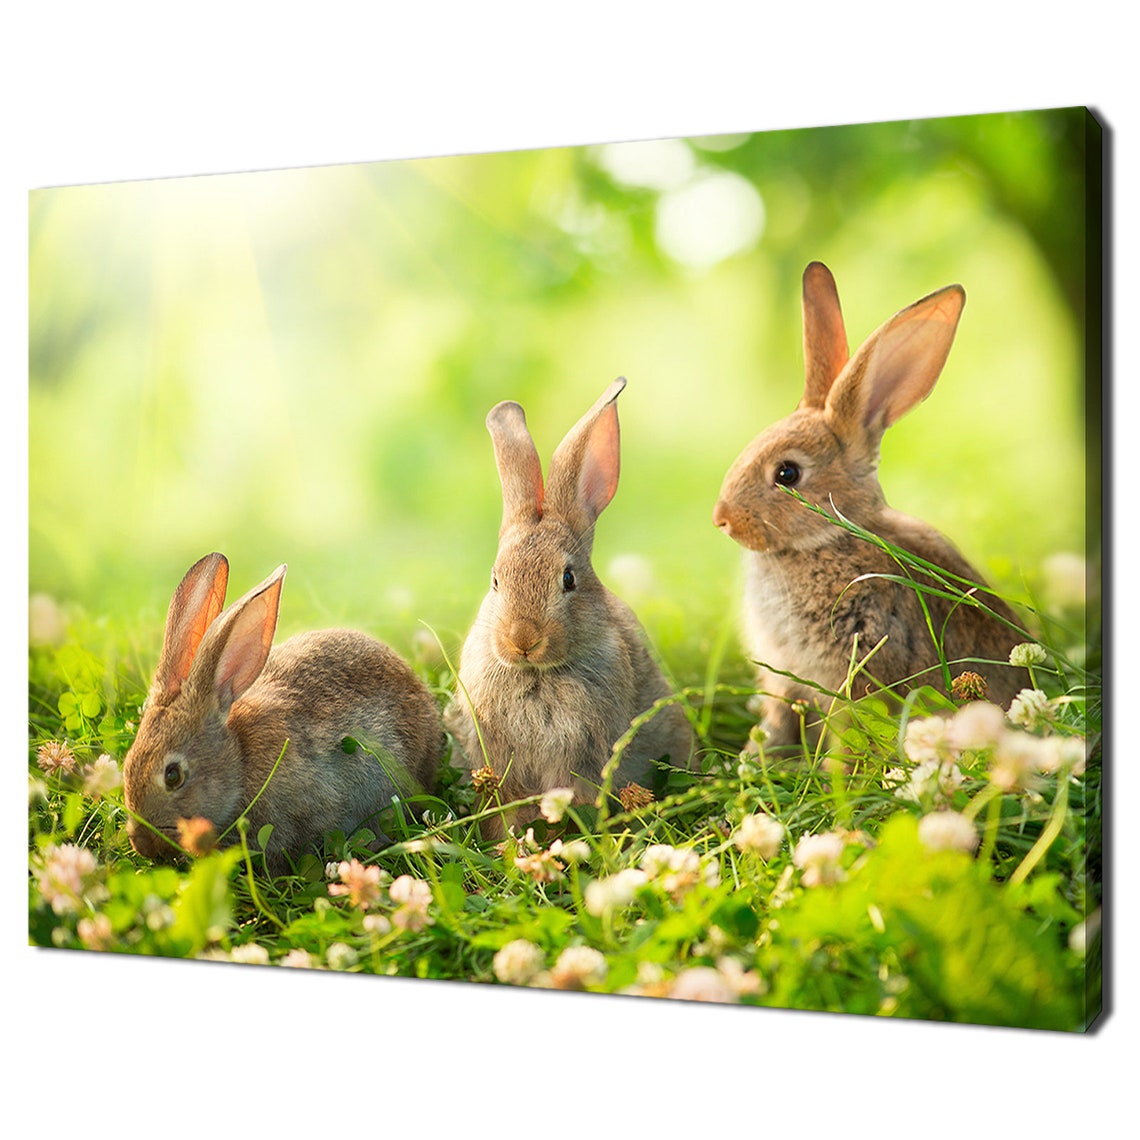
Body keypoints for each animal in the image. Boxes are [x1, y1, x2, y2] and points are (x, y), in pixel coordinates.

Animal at [445, 377, 694, 839]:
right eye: (495, 580)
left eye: (568, 579)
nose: (522, 639)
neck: (536, 674)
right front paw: (509, 842)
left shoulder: (584, 752)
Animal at [713, 262, 1028, 749]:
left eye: (787, 474)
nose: (722, 519)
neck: (827, 539)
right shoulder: (785, 681)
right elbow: (777, 721)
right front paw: (754, 755)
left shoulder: (863, 663)